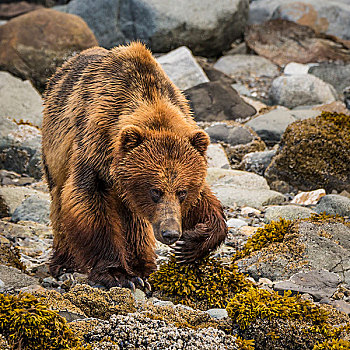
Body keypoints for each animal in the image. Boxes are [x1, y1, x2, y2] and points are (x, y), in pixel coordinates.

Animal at [41, 41, 227, 288]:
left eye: (182, 192)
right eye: (155, 191)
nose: (170, 233)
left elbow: (205, 202)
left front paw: (191, 244)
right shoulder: (93, 151)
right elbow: (89, 205)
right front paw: (118, 273)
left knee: (134, 220)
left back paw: (143, 265)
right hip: (55, 150)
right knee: (60, 201)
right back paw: (65, 264)